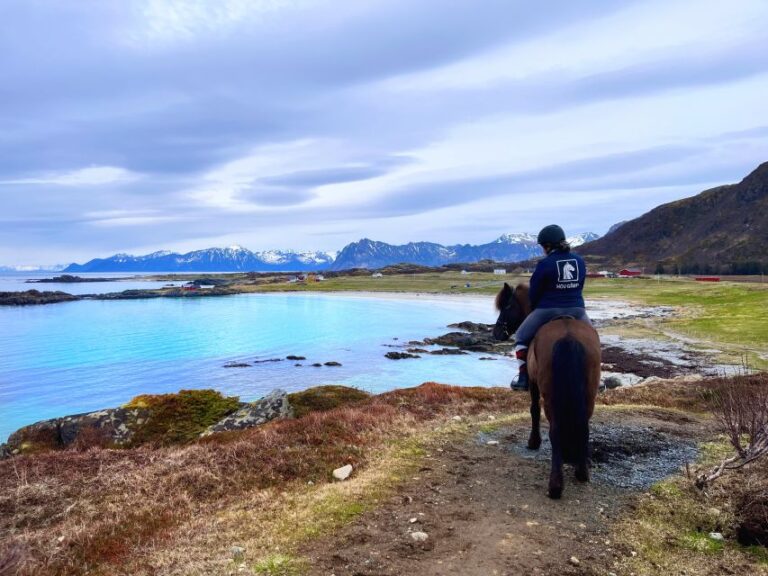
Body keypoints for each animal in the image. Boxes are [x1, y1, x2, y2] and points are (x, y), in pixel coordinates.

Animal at [496, 284, 604, 500]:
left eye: (507, 306)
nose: (496, 332)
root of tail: (568, 336)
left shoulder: (534, 384)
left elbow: (533, 410)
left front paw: (534, 442)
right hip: (589, 394)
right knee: (584, 426)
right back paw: (582, 471)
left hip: (550, 395)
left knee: (555, 430)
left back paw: (555, 485)